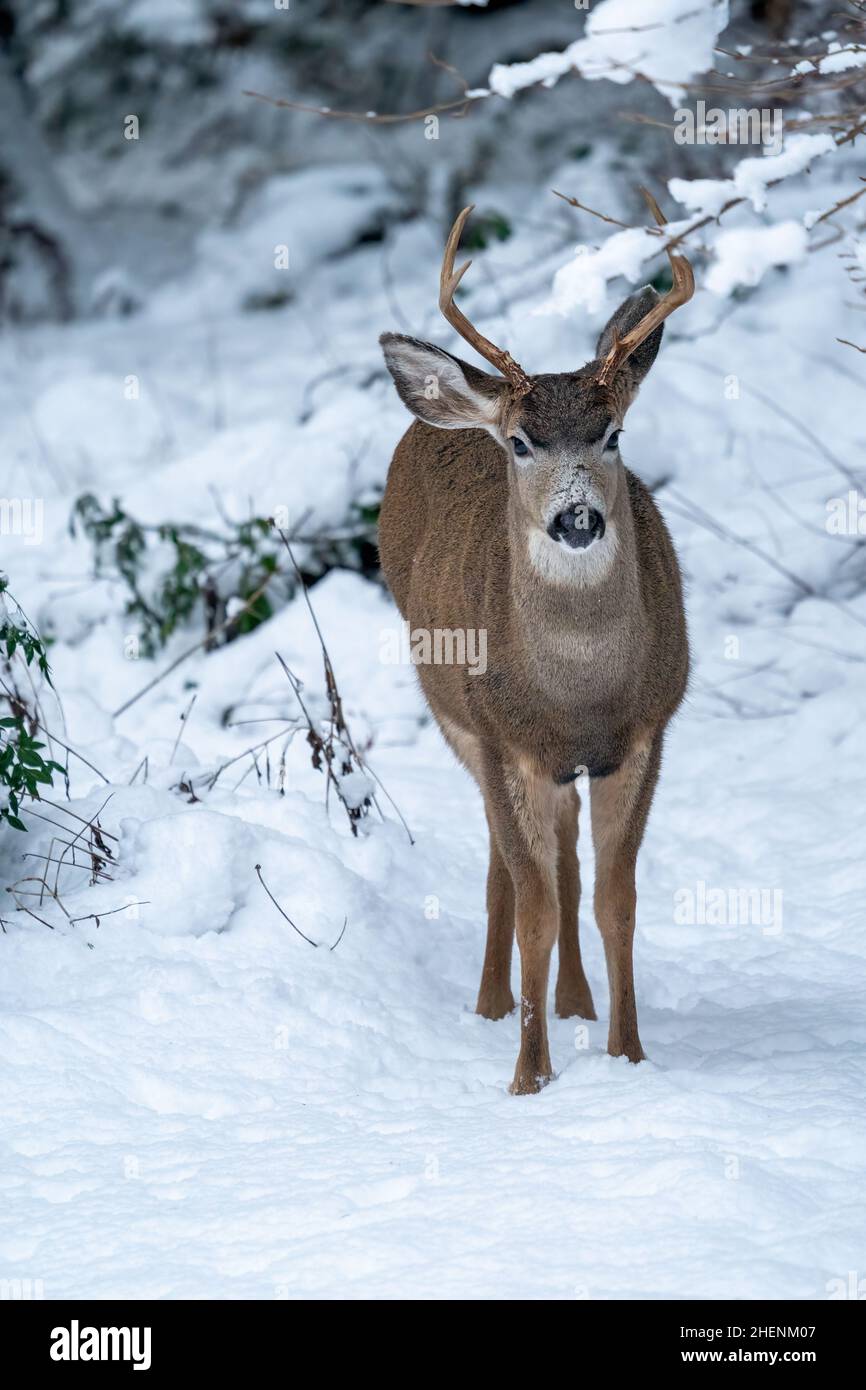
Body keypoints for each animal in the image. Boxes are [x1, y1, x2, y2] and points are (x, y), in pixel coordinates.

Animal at [378, 198, 697, 1095]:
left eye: (613, 433)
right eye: (523, 444)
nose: (577, 518)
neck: (578, 693)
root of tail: (454, 411)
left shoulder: (644, 734)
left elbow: (614, 898)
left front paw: (628, 1055)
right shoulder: (503, 739)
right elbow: (533, 905)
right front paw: (528, 1078)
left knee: (564, 858)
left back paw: (576, 1004)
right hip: (457, 721)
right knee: (507, 868)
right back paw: (493, 1005)